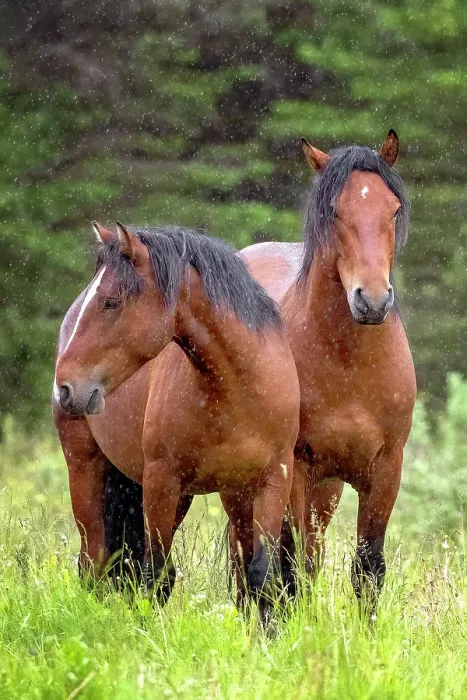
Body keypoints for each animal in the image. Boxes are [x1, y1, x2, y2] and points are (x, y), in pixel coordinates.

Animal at [53, 223, 300, 617]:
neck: (237, 389)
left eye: (111, 301)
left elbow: (261, 574)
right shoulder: (161, 480)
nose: (65, 387)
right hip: (86, 468)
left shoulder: (272, 481)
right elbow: (155, 574)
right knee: (95, 561)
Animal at [241, 130, 416, 613]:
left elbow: (368, 569)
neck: (348, 363)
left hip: (329, 490)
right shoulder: (296, 470)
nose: (372, 300)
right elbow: (293, 568)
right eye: (335, 211)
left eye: (393, 209)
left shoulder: (386, 469)